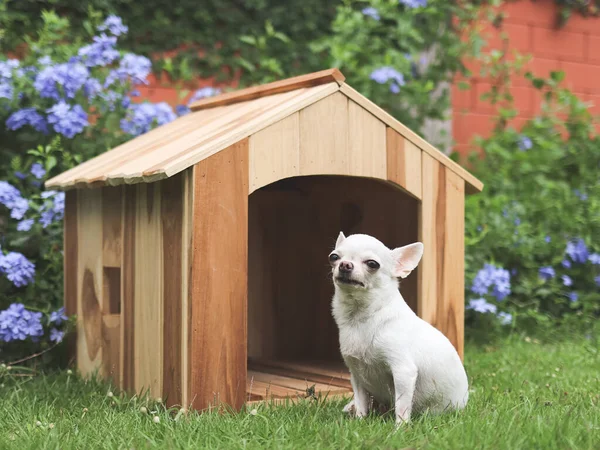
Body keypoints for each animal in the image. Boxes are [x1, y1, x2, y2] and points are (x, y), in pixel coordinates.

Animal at [330, 232, 466, 426]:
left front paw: (400, 428)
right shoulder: (357, 374)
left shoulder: (403, 372)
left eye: (372, 264)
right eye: (334, 257)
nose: (344, 264)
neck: (361, 318)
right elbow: (361, 400)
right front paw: (360, 421)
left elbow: (401, 405)